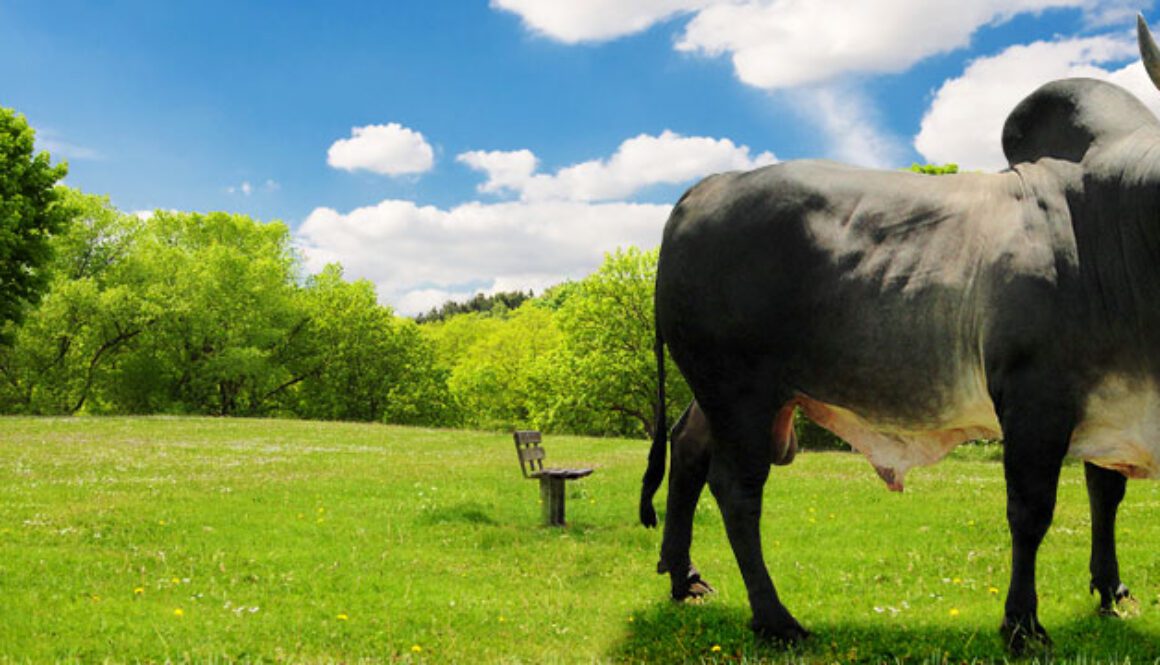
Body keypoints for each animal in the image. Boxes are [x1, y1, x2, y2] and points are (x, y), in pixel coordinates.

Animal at [640, 14, 1160, 649]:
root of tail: (708, 185)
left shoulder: (1108, 405)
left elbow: (1105, 496)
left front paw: (1111, 592)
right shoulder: (1036, 397)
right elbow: (1030, 512)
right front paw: (1021, 624)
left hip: (726, 392)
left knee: (688, 447)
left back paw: (684, 576)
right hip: (737, 389)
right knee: (737, 490)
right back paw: (775, 619)